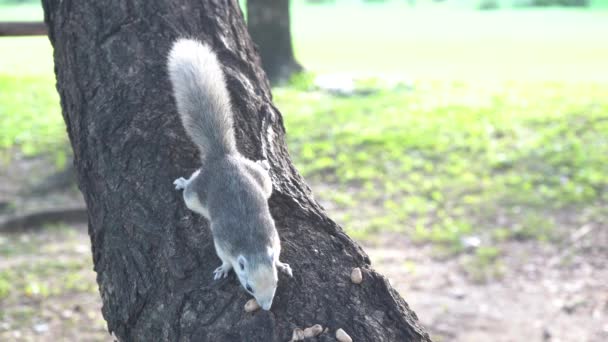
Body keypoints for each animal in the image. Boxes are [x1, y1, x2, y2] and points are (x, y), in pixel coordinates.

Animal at [166, 38, 290, 312]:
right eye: (249, 288)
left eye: (276, 283)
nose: (266, 307)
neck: (253, 247)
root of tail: (223, 158)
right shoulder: (223, 244)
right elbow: (223, 259)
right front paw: (223, 269)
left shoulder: (273, 239)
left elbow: (277, 254)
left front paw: (281, 264)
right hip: (195, 195)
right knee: (190, 190)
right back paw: (183, 182)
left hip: (263, 183)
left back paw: (263, 164)